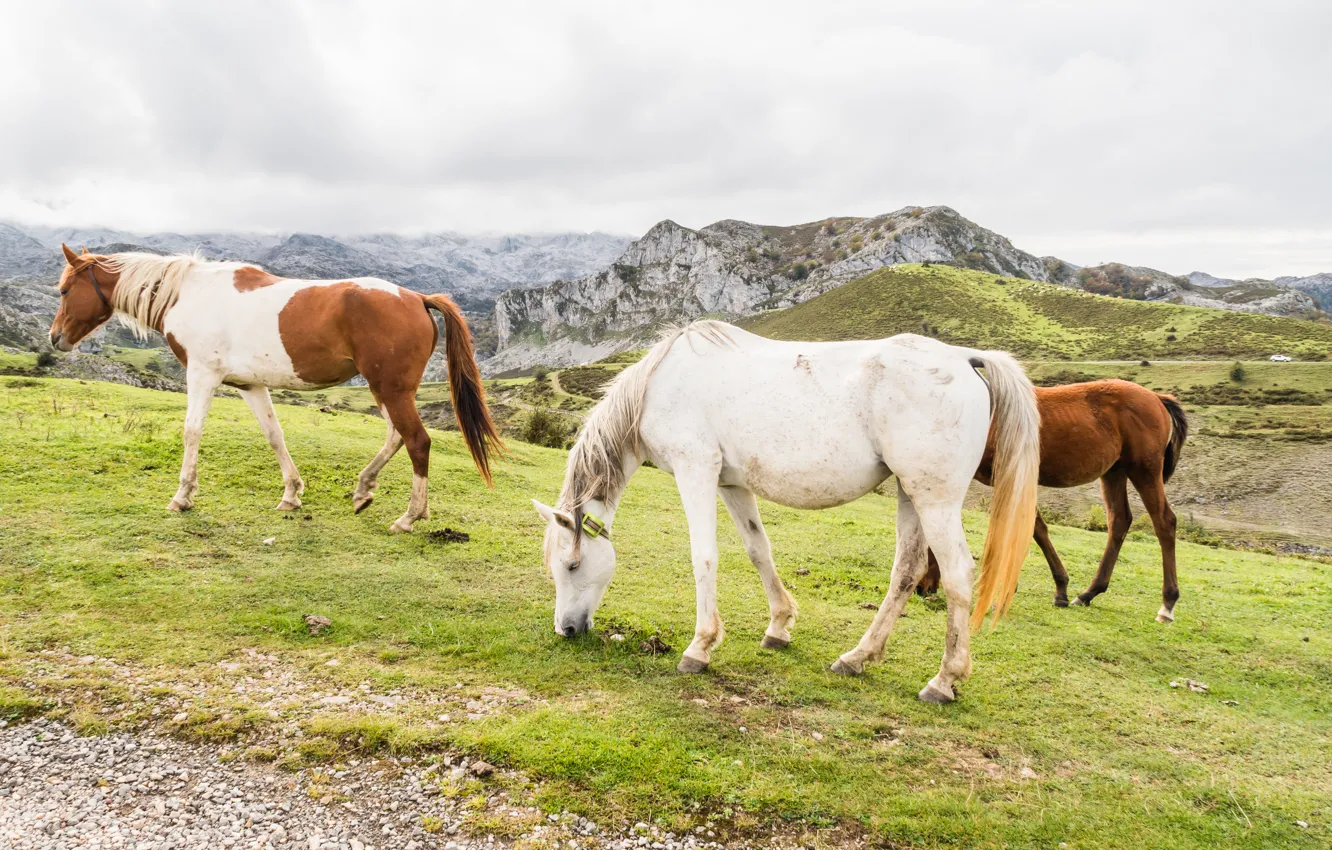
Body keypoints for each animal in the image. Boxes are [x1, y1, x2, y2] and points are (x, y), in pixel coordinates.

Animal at [48, 244, 500, 533]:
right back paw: (363, 490)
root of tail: (417, 297)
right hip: (385, 390)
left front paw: (182, 497)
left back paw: (409, 517)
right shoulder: (249, 385)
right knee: (396, 436)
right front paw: (292, 494)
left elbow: (192, 432)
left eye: (65, 290)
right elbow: (274, 435)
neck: (188, 295)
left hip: (390, 388)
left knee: (417, 441)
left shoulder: (202, 375)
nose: (55, 338)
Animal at [532, 321, 1041, 703]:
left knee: (956, 575)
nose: (566, 629)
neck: (658, 385)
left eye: (572, 564)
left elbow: (704, 558)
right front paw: (778, 627)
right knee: (907, 571)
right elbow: (759, 550)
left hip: (935, 499)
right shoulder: (732, 484)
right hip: (909, 493)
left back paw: (944, 680)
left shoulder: (696, 471)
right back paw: (856, 658)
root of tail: (963, 358)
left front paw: (699, 647)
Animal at [917, 379, 1188, 623]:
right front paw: (1059, 589)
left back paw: (1167, 604)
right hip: (1114, 472)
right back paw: (1089, 593)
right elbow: (1035, 527)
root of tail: (1158, 398)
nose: (922, 589)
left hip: (1144, 471)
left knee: (1164, 521)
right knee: (1119, 521)